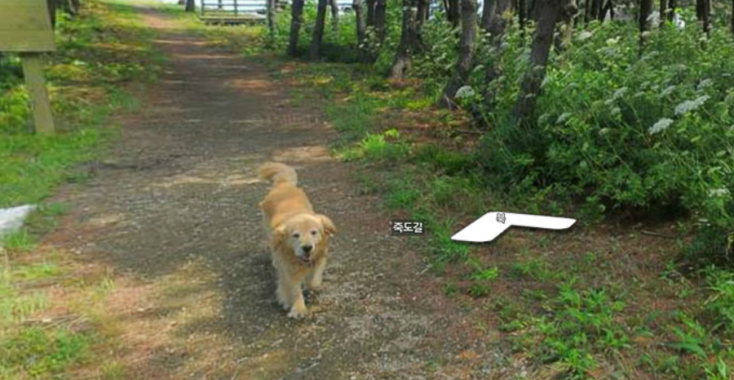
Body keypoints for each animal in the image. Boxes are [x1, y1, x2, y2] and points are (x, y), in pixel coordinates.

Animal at [258, 163, 340, 318]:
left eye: (314, 232)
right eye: (295, 235)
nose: (307, 248)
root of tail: (283, 184)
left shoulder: (319, 259)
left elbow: (313, 281)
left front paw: (310, 285)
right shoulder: (288, 270)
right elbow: (294, 289)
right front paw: (298, 308)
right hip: (267, 230)